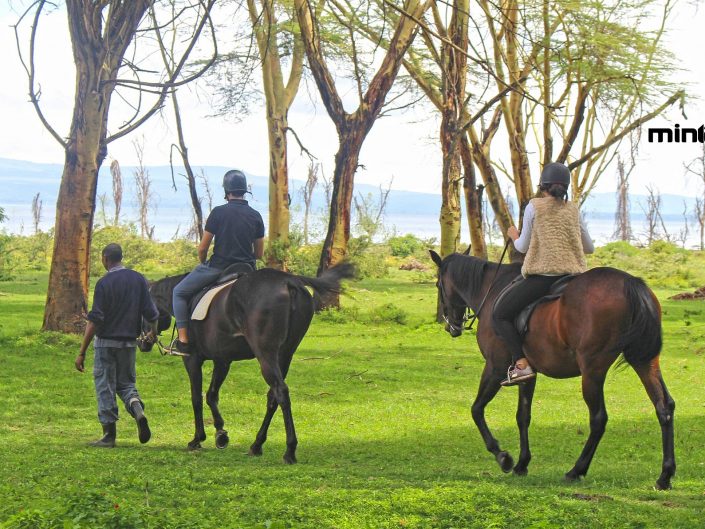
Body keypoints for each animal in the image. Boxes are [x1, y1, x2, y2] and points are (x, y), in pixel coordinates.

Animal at [144, 264, 354, 462]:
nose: (143, 343)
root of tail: (288, 281)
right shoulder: (223, 360)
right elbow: (211, 395)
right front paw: (220, 434)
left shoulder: (192, 359)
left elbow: (196, 398)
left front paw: (198, 438)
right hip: (285, 354)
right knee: (273, 395)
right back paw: (257, 444)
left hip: (266, 353)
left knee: (280, 391)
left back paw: (289, 450)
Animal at [428, 250, 676, 488]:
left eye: (438, 285)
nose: (451, 326)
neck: (492, 289)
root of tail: (630, 282)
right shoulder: (527, 373)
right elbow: (523, 416)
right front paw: (522, 463)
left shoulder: (495, 367)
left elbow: (477, 410)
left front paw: (503, 457)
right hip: (644, 360)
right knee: (663, 407)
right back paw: (665, 475)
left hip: (592, 370)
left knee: (598, 419)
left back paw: (576, 470)